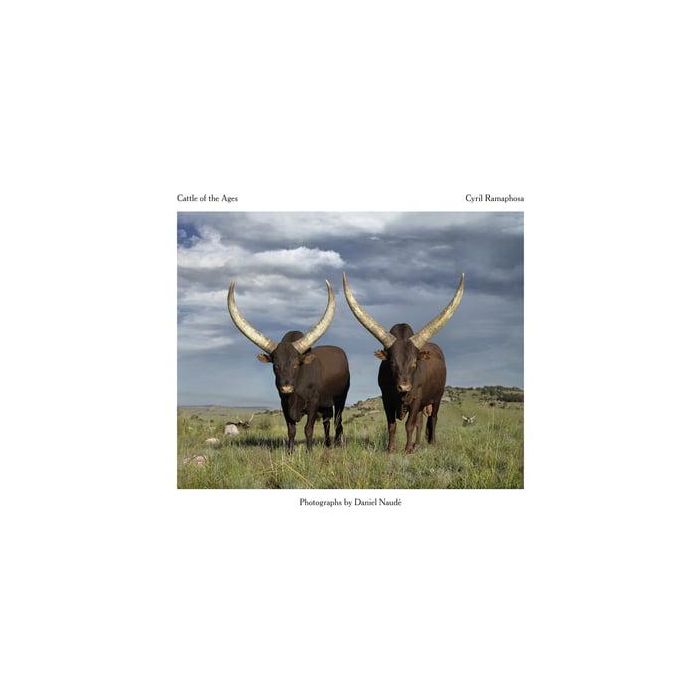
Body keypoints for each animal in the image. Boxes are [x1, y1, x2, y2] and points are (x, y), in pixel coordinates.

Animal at [227, 280, 350, 452]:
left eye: (296, 364)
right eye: (275, 365)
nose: (286, 388)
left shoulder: (313, 403)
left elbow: (308, 429)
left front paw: (309, 451)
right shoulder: (284, 405)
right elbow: (291, 430)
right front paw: (290, 451)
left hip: (340, 399)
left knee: (338, 421)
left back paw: (337, 444)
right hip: (326, 405)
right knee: (327, 422)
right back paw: (327, 444)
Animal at [343, 273, 464, 453]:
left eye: (414, 363)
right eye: (392, 363)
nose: (404, 387)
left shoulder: (416, 398)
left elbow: (409, 425)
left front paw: (406, 450)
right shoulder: (386, 399)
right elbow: (392, 425)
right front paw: (391, 449)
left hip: (437, 397)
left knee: (433, 419)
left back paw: (430, 443)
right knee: (421, 422)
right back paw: (417, 444)